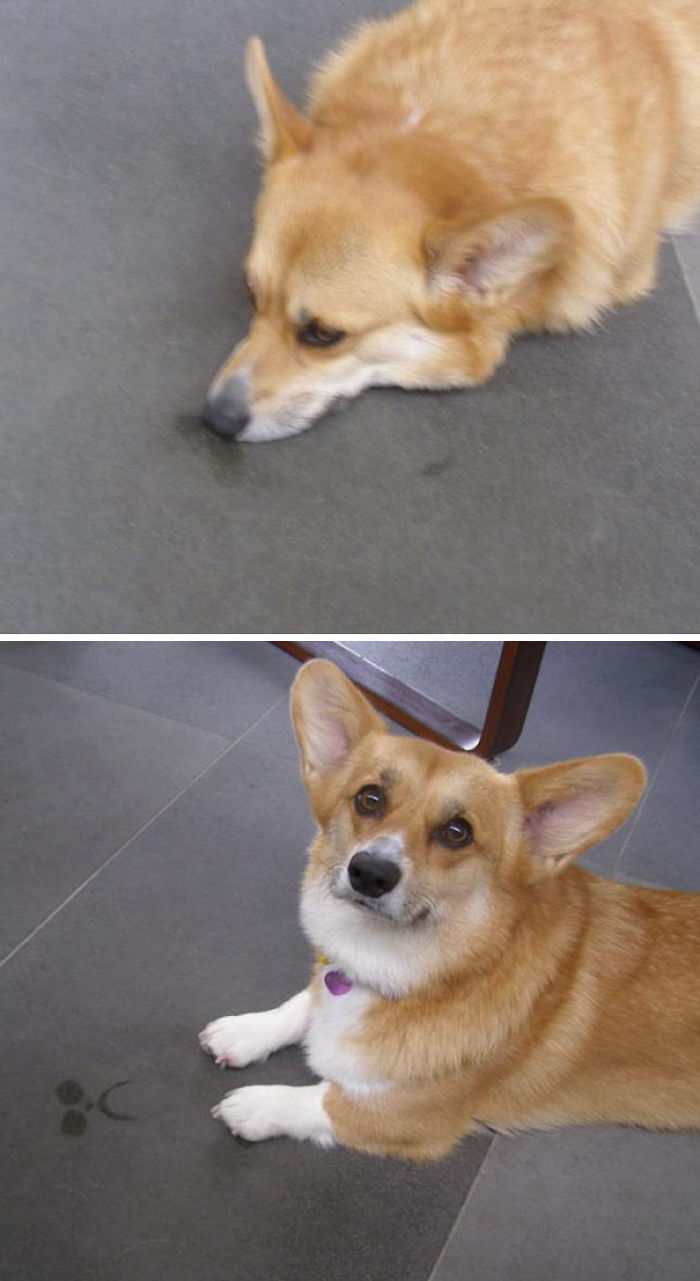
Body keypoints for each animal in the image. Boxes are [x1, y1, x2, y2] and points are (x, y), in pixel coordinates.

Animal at [198, 660, 697, 1163]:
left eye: (458, 832)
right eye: (369, 798)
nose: (370, 872)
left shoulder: (405, 1114)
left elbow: (319, 1100)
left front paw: (255, 1104)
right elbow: (305, 1000)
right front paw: (247, 1031)